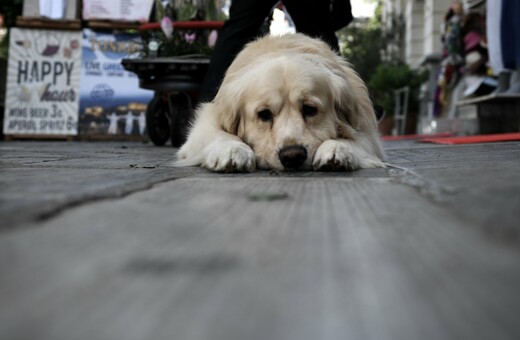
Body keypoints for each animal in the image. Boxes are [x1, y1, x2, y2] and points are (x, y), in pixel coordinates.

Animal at [177, 33, 384, 173]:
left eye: (310, 109)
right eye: (264, 114)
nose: (292, 156)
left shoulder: (367, 131)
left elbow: (356, 139)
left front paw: (336, 149)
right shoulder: (205, 123)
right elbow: (220, 134)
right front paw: (232, 150)